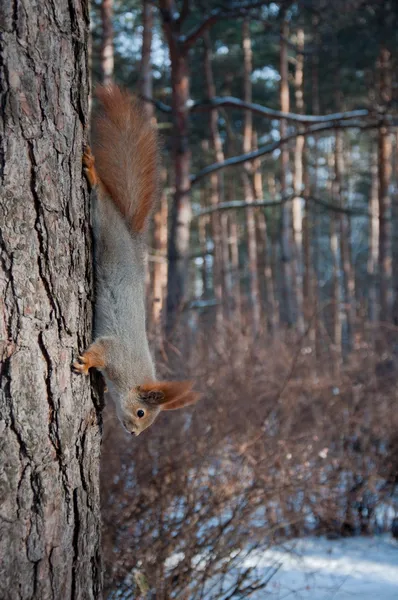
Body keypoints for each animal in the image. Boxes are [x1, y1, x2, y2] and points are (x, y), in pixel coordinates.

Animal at [72, 84, 199, 434]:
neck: (132, 376)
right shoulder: (115, 351)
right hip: (107, 230)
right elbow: (100, 351)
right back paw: (93, 174)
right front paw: (86, 363)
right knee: (101, 200)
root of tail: (130, 238)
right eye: (142, 413)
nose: (133, 433)